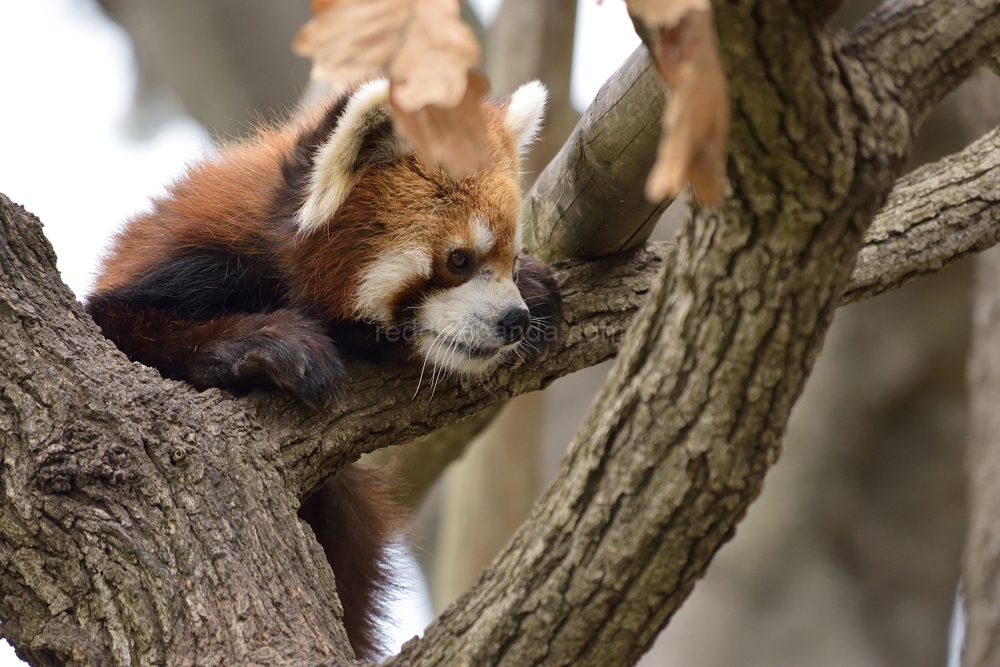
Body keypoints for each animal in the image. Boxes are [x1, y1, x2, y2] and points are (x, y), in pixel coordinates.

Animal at [86, 78, 564, 656]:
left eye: (510, 261)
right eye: (458, 260)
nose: (513, 320)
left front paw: (536, 290)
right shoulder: (185, 268)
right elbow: (126, 334)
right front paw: (267, 344)